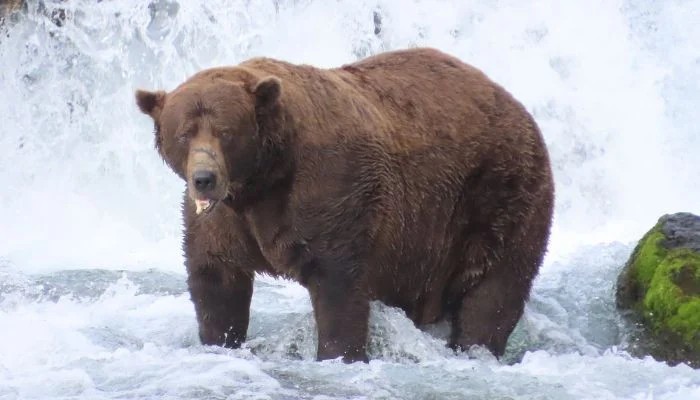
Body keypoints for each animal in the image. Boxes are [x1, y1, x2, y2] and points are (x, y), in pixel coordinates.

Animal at [135, 47, 554, 363]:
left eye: (225, 132)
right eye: (184, 133)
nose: (204, 178)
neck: (263, 180)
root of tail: (516, 104)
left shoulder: (331, 191)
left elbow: (338, 284)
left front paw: (339, 354)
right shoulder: (225, 220)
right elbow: (216, 278)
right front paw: (220, 340)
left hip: (498, 194)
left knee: (494, 289)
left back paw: (476, 347)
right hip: (424, 243)